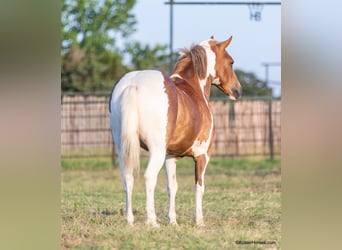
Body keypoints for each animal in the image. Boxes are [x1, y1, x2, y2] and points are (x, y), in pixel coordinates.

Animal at [109, 35, 240, 227]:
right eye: (231, 62)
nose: (238, 90)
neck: (193, 87)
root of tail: (134, 84)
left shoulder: (170, 157)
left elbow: (172, 187)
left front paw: (173, 221)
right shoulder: (202, 155)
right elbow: (199, 187)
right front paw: (199, 221)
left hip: (122, 148)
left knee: (128, 178)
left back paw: (130, 220)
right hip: (156, 151)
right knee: (149, 178)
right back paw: (152, 221)